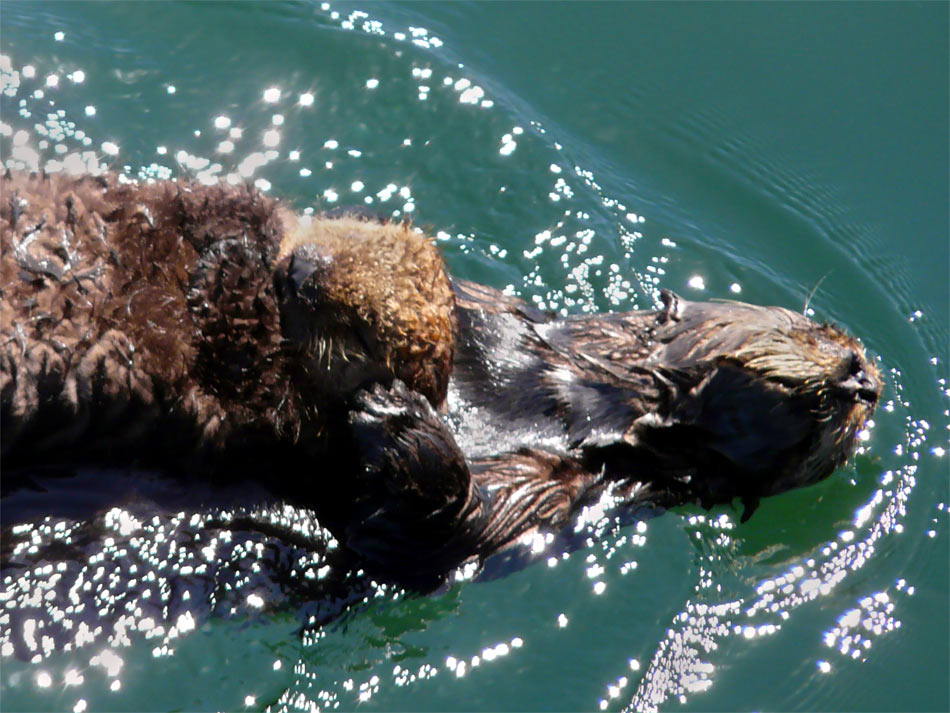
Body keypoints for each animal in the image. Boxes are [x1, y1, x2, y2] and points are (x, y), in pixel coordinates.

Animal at [0, 171, 880, 584]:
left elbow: (412, 535)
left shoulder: (556, 498)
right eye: (814, 330)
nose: (864, 380)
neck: (581, 392)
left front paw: (390, 413)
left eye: (824, 409)